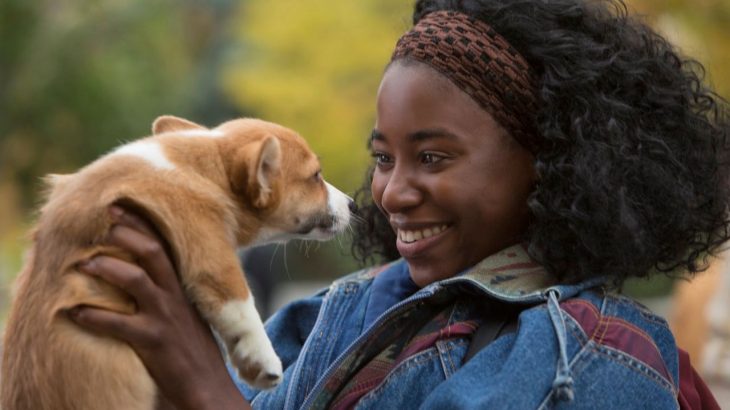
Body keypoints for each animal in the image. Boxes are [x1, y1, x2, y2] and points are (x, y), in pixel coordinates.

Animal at [0, 116, 352, 410]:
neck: (207, 168)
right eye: (316, 177)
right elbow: (240, 304)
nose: (351, 203)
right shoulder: (208, 247)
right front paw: (262, 362)